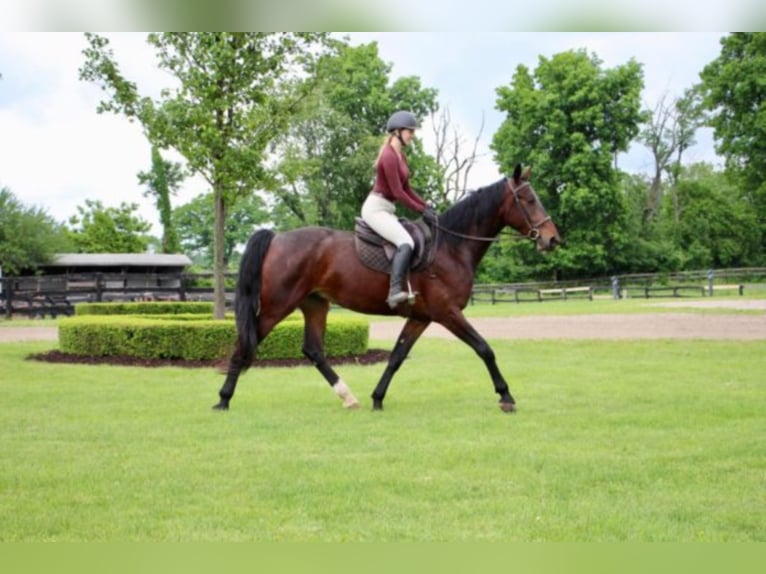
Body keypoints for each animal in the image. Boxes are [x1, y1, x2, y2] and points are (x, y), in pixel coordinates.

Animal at [213, 165, 560, 414]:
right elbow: (484, 348)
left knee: (313, 350)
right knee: (244, 344)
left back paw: (348, 397)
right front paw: (506, 396)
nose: (552, 238)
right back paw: (223, 399)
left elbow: (396, 356)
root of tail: (277, 238)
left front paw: (377, 398)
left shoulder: (421, 317)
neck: (451, 246)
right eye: (529, 200)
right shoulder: (448, 313)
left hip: (314, 304)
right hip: (277, 306)